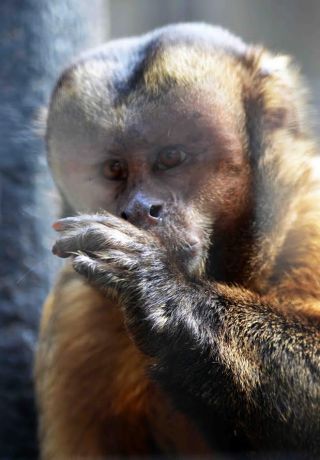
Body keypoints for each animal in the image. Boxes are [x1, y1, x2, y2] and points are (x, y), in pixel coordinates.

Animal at [35, 23, 320, 458]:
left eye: (170, 158)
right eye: (114, 169)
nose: (139, 209)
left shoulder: (309, 213)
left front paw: (159, 288)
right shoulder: (75, 315)